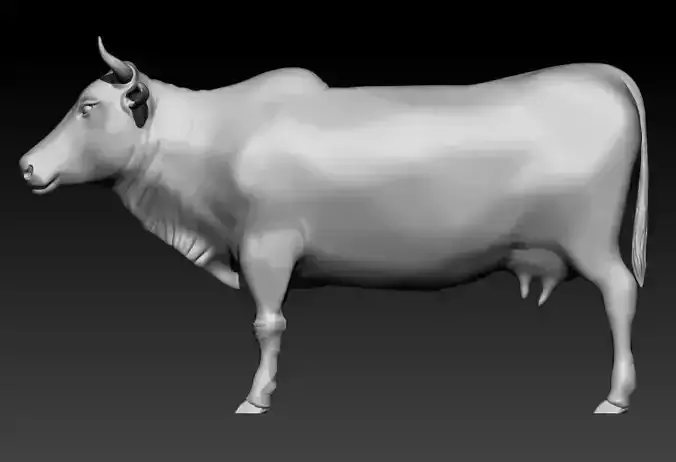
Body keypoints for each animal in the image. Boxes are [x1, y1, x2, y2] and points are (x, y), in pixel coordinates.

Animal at [20, 37, 648, 415]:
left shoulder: (267, 247)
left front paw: (257, 397)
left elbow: (268, 324)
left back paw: (617, 396)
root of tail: (598, 73)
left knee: (621, 291)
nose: (25, 164)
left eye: (88, 106)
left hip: (590, 237)